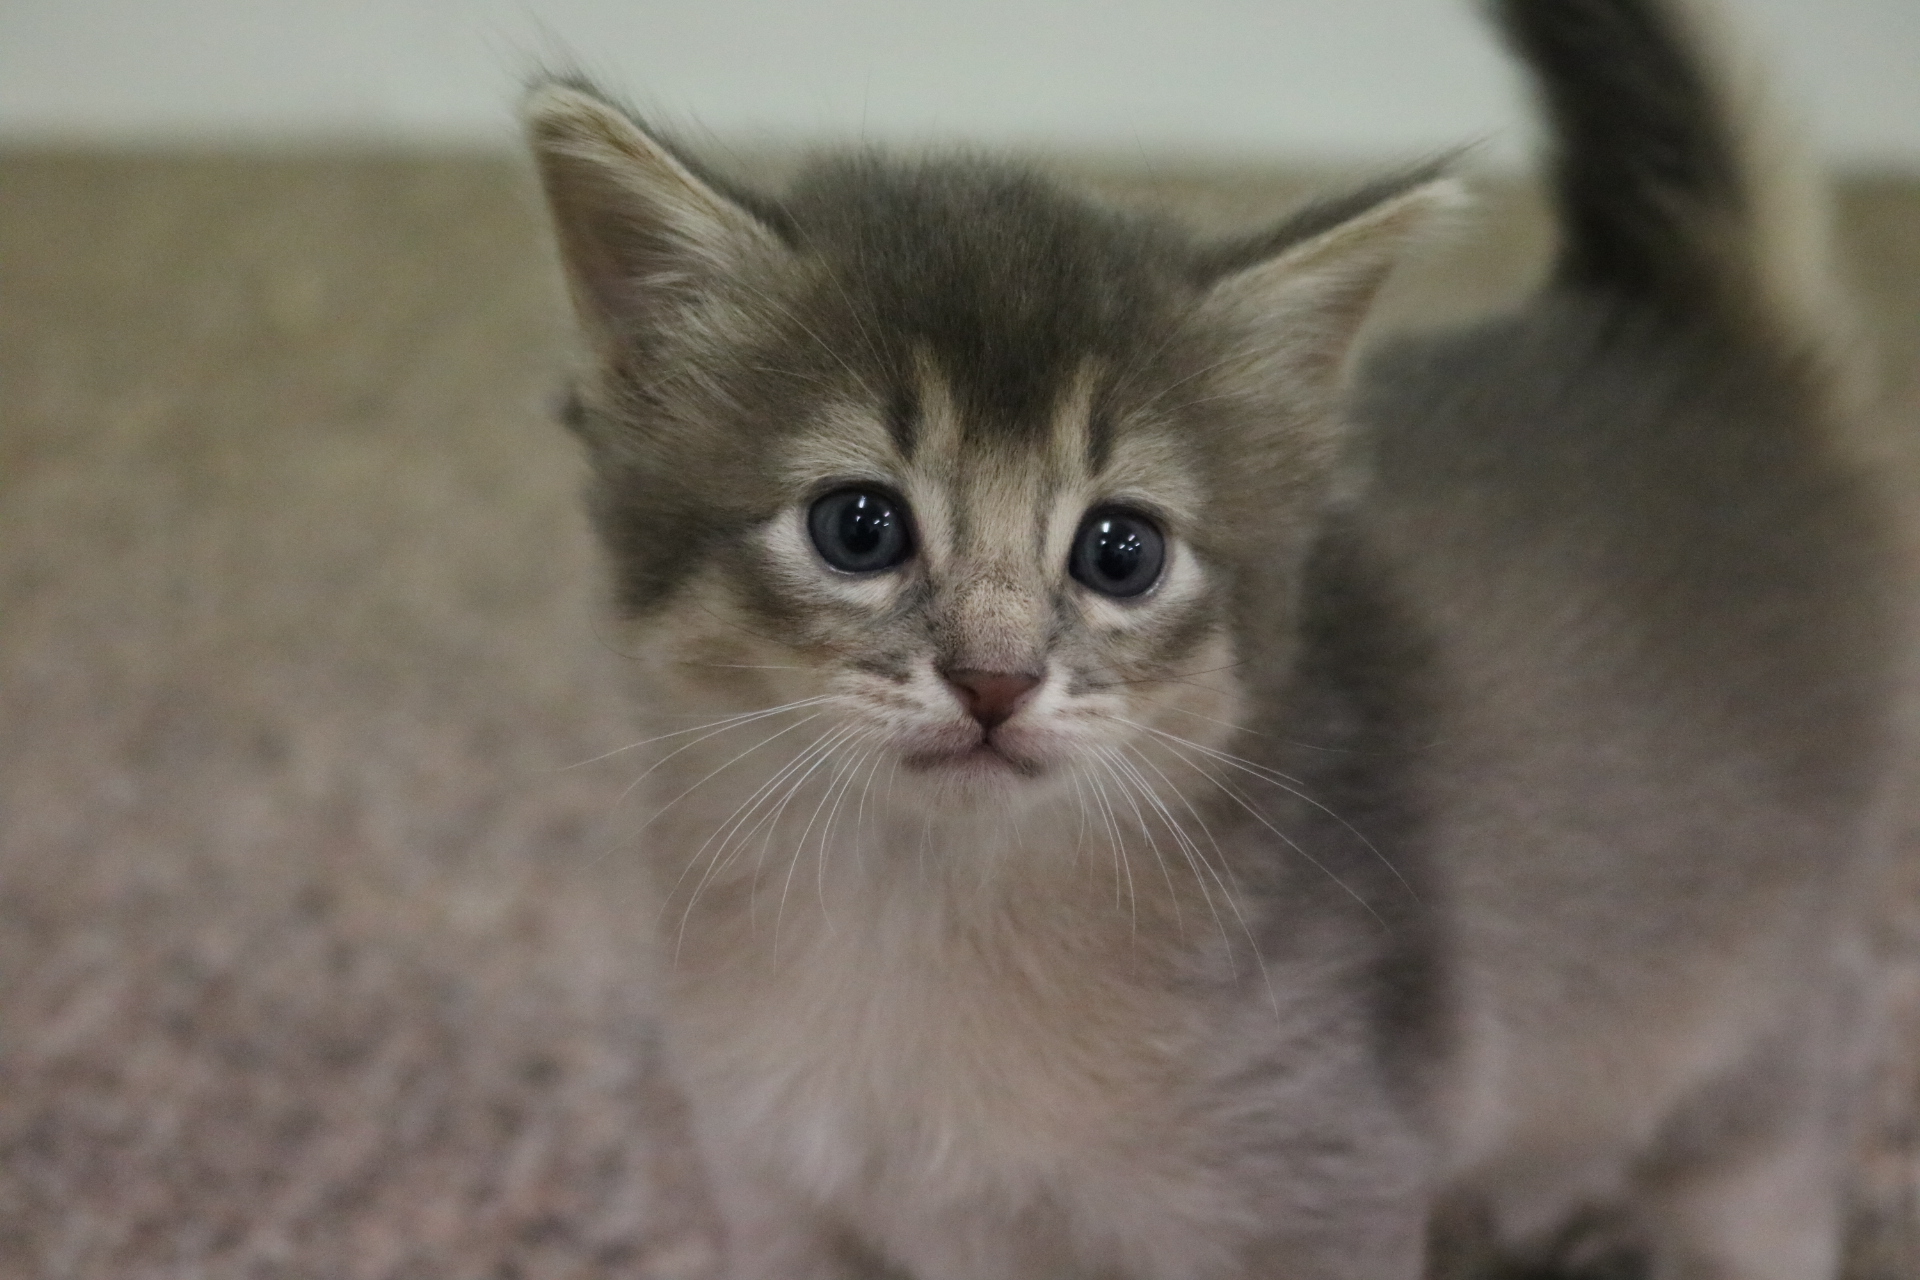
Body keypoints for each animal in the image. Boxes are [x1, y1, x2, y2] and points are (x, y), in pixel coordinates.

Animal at [522, 0, 1907, 1276]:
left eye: (1119, 551)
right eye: (857, 527)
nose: (994, 680)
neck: (917, 923)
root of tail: (1679, 336)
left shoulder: (1320, 1178)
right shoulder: (782, 1198)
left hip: (1744, 1037)